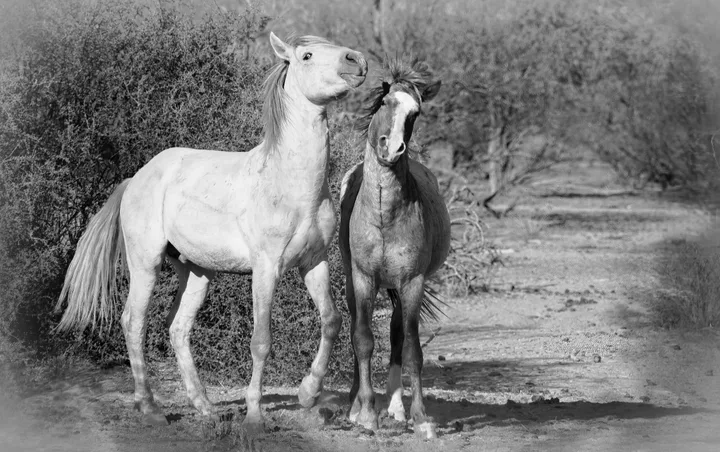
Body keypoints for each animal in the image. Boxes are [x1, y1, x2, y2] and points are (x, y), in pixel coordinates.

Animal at [54, 33, 367, 434]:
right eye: (308, 55)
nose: (356, 61)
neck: (291, 185)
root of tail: (136, 178)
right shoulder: (266, 269)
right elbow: (261, 340)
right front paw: (254, 415)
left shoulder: (314, 263)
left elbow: (331, 321)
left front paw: (308, 394)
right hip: (146, 264)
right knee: (133, 322)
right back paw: (149, 407)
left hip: (197, 272)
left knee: (178, 329)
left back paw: (205, 407)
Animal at [339, 59, 449, 439]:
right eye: (385, 103)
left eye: (415, 113)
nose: (392, 149)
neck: (385, 216)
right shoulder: (362, 278)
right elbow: (362, 339)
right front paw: (366, 413)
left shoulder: (413, 282)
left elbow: (412, 348)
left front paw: (420, 418)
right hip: (354, 282)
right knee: (359, 328)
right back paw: (357, 404)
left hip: (400, 289)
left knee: (398, 334)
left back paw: (397, 408)